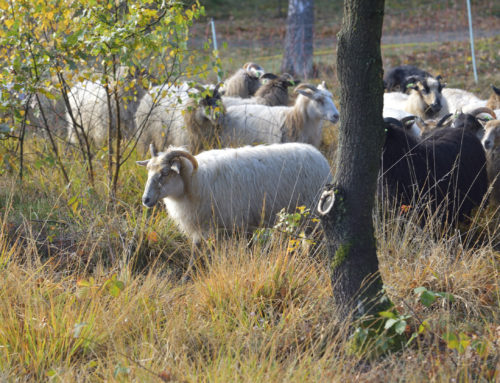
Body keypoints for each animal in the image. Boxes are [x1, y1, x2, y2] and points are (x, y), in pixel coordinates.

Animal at [137, 142, 332, 244]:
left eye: (165, 173)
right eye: (148, 171)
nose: (145, 199)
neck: (194, 181)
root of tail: (320, 157)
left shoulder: (233, 225)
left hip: (311, 214)